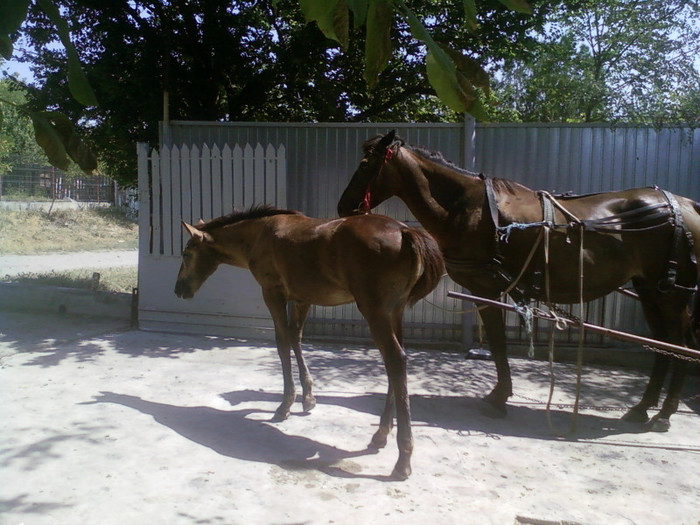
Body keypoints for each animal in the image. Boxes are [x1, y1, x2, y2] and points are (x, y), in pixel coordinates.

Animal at [174, 205, 442, 478]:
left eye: (186, 253)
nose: (179, 290)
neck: (259, 234)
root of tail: (405, 230)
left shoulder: (273, 292)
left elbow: (282, 343)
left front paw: (285, 405)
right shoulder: (302, 298)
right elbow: (296, 338)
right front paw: (308, 397)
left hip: (374, 310)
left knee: (395, 360)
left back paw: (402, 459)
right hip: (395, 311)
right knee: (396, 362)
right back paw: (380, 435)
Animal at [338, 130, 700, 430]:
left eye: (366, 164)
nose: (343, 206)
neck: (466, 207)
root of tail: (685, 205)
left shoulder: (485, 289)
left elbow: (498, 343)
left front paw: (499, 398)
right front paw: (500, 394)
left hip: (671, 295)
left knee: (680, 346)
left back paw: (664, 414)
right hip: (650, 291)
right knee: (663, 347)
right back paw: (642, 408)